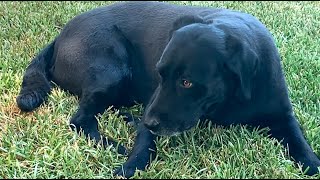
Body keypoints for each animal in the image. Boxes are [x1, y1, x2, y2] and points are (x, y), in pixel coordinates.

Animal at [16, 1, 318, 179]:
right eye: (160, 74)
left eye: (186, 82)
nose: (150, 121)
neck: (230, 99)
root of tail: (59, 36)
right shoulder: (153, 102)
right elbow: (144, 144)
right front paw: (131, 165)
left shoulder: (282, 115)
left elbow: (300, 143)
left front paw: (312, 164)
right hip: (111, 71)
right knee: (79, 120)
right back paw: (115, 143)